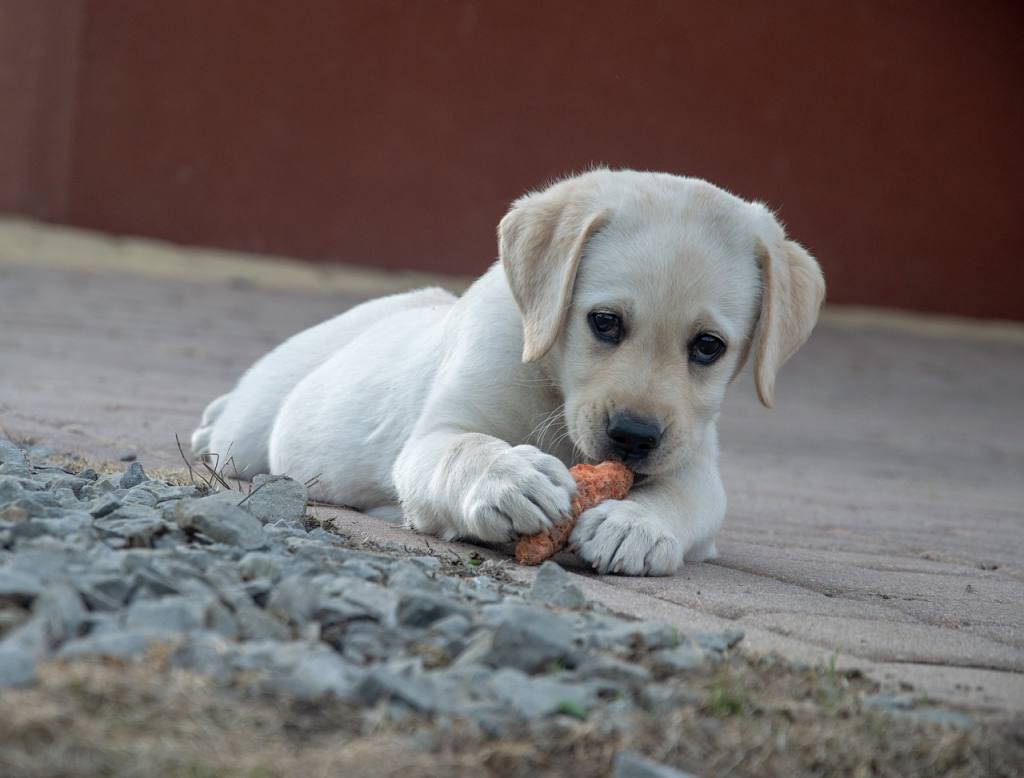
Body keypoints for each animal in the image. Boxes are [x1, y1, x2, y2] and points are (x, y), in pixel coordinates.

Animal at [193, 168, 823, 573]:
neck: (552, 387)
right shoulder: (434, 436)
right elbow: (464, 448)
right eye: (604, 322)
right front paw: (510, 479)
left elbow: (684, 498)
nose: (634, 437)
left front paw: (636, 525)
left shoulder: (694, 460)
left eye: (709, 347)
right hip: (251, 430)